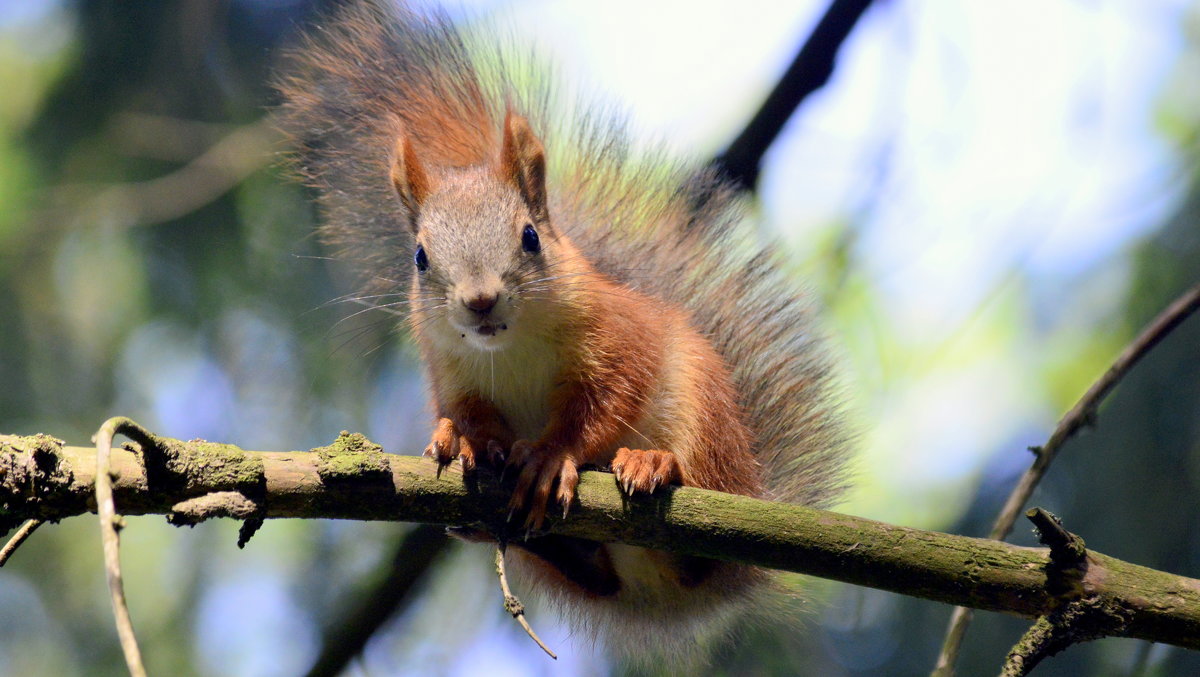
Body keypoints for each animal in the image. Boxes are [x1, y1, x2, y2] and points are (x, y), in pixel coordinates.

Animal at [276, 0, 849, 667]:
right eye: (419, 257)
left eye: (530, 236)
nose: (479, 300)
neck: (509, 348)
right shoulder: (447, 369)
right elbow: (466, 410)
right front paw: (465, 438)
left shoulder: (619, 337)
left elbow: (606, 398)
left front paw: (552, 455)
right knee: (592, 576)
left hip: (706, 420)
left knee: (697, 545)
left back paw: (656, 465)